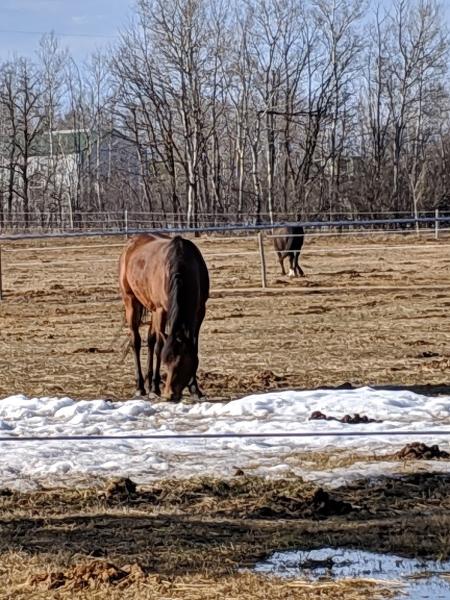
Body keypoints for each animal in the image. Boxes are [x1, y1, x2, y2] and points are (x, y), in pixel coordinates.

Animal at [119, 234, 211, 404]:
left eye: (183, 363)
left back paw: (148, 383)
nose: (170, 395)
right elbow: (159, 347)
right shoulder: (161, 310)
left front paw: (195, 389)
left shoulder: (200, 310)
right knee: (136, 341)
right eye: (166, 362)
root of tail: (131, 243)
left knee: (150, 339)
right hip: (131, 302)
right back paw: (141, 387)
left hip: (151, 309)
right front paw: (155, 388)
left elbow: (193, 347)